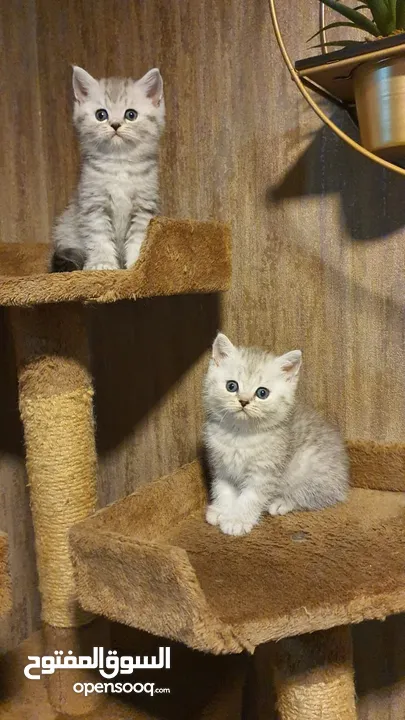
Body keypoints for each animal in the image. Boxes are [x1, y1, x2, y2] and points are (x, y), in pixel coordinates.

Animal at [202, 332, 348, 536]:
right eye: (232, 386)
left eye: (262, 393)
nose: (244, 401)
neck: (240, 434)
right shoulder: (221, 465)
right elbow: (223, 489)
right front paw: (222, 510)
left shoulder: (265, 472)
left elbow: (251, 497)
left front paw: (237, 519)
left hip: (311, 469)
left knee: (316, 495)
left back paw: (282, 502)